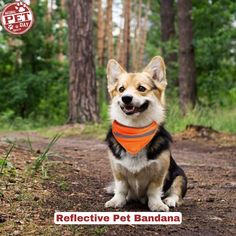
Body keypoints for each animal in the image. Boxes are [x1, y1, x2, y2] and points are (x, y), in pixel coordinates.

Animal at [104, 56, 187, 211]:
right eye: (121, 89)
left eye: (141, 88)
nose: (126, 98)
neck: (135, 130)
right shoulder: (117, 170)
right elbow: (121, 188)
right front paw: (116, 201)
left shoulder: (160, 171)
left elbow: (154, 190)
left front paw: (157, 205)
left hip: (180, 175)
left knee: (175, 191)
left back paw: (169, 200)